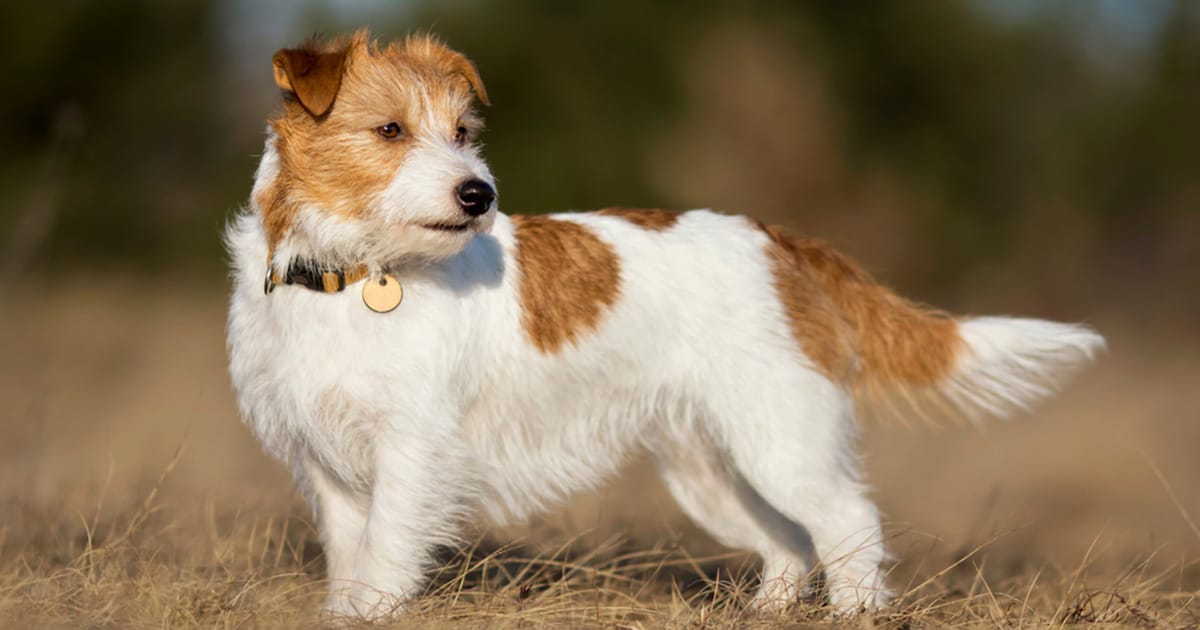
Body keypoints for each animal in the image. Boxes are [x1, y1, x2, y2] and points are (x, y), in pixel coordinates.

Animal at [225, 31, 1104, 614]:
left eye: (464, 133)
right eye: (390, 130)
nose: (479, 194)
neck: (350, 277)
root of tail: (783, 243)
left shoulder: (411, 455)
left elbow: (380, 563)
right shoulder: (329, 468)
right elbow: (350, 566)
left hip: (782, 443)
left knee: (850, 523)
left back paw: (856, 611)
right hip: (712, 471)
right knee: (790, 543)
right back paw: (766, 613)